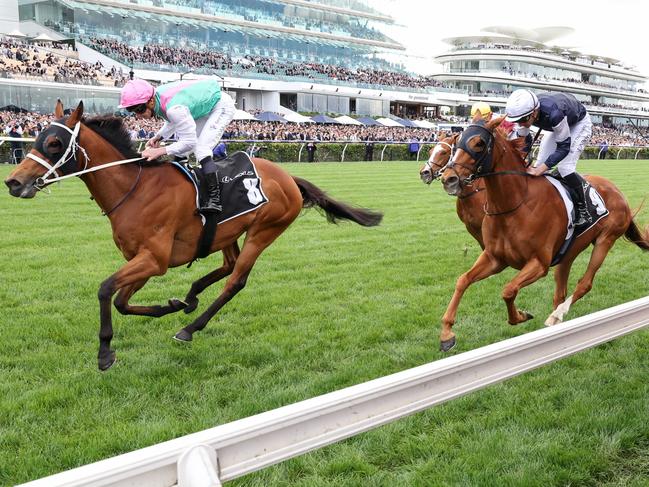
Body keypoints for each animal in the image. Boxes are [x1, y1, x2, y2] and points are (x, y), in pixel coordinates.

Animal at [3, 102, 380, 370]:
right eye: (37, 137)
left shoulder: (154, 260)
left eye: (54, 142)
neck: (135, 189)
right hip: (227, 232)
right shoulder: (144, 259)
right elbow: (123, 302)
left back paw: (191, 326)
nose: (13, 182)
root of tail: (288, 177)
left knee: (235, 280)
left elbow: (106, 289)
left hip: (265, 230)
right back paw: (190, 296)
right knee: (227, 266)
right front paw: (169, 305)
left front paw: (105, 353)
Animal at [436, 116, 648, 352]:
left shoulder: (538, 263)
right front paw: (447, 333)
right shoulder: (495, 258)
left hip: (606, 240)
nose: (449, 179)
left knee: (585, 283)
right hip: (569, 251)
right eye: (457, 142)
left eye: (479, 143)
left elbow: (508, 290)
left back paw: (557, 314)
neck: (514, 204)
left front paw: (520, 316)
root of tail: (619, 192)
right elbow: (463, 280)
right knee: (560, 289)